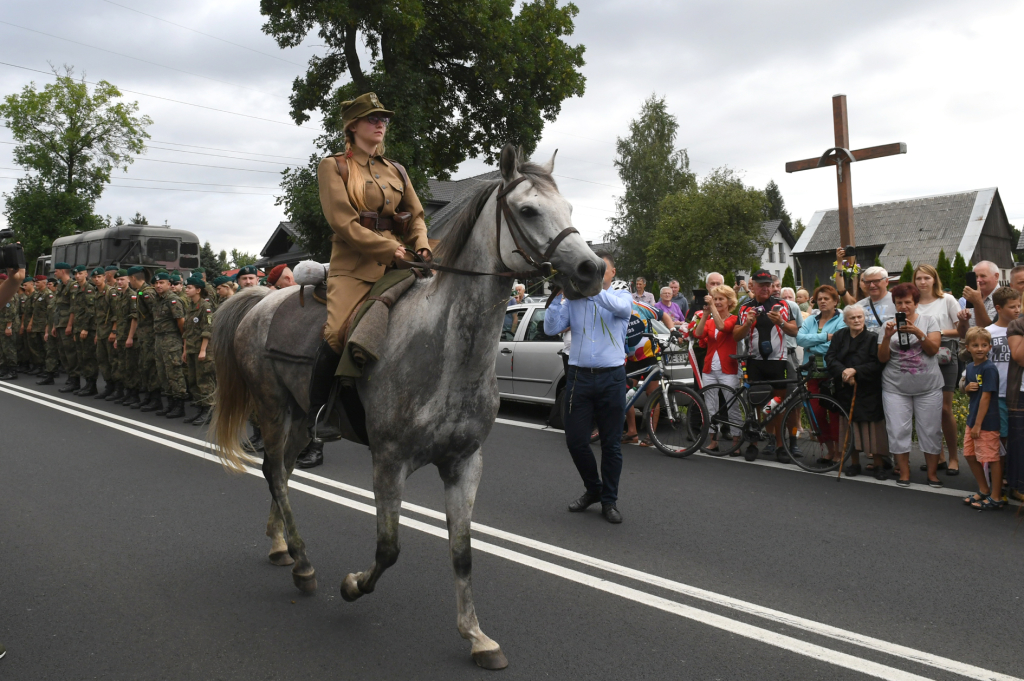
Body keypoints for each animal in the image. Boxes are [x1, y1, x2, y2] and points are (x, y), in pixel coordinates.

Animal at [210, 144, 602, 667]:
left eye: (570, 208)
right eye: (528, 210)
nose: (591, 270)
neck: (448, 352)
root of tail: (261, 300)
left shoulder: (464, 463)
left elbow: (462, 552)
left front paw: (477, 636)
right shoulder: (389, 461)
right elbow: (389, 549)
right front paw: (352, 586)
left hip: (299, 419)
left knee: (281, 474)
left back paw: (282, 547)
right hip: (275, 411)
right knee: (274, 473)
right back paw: (304, 564)